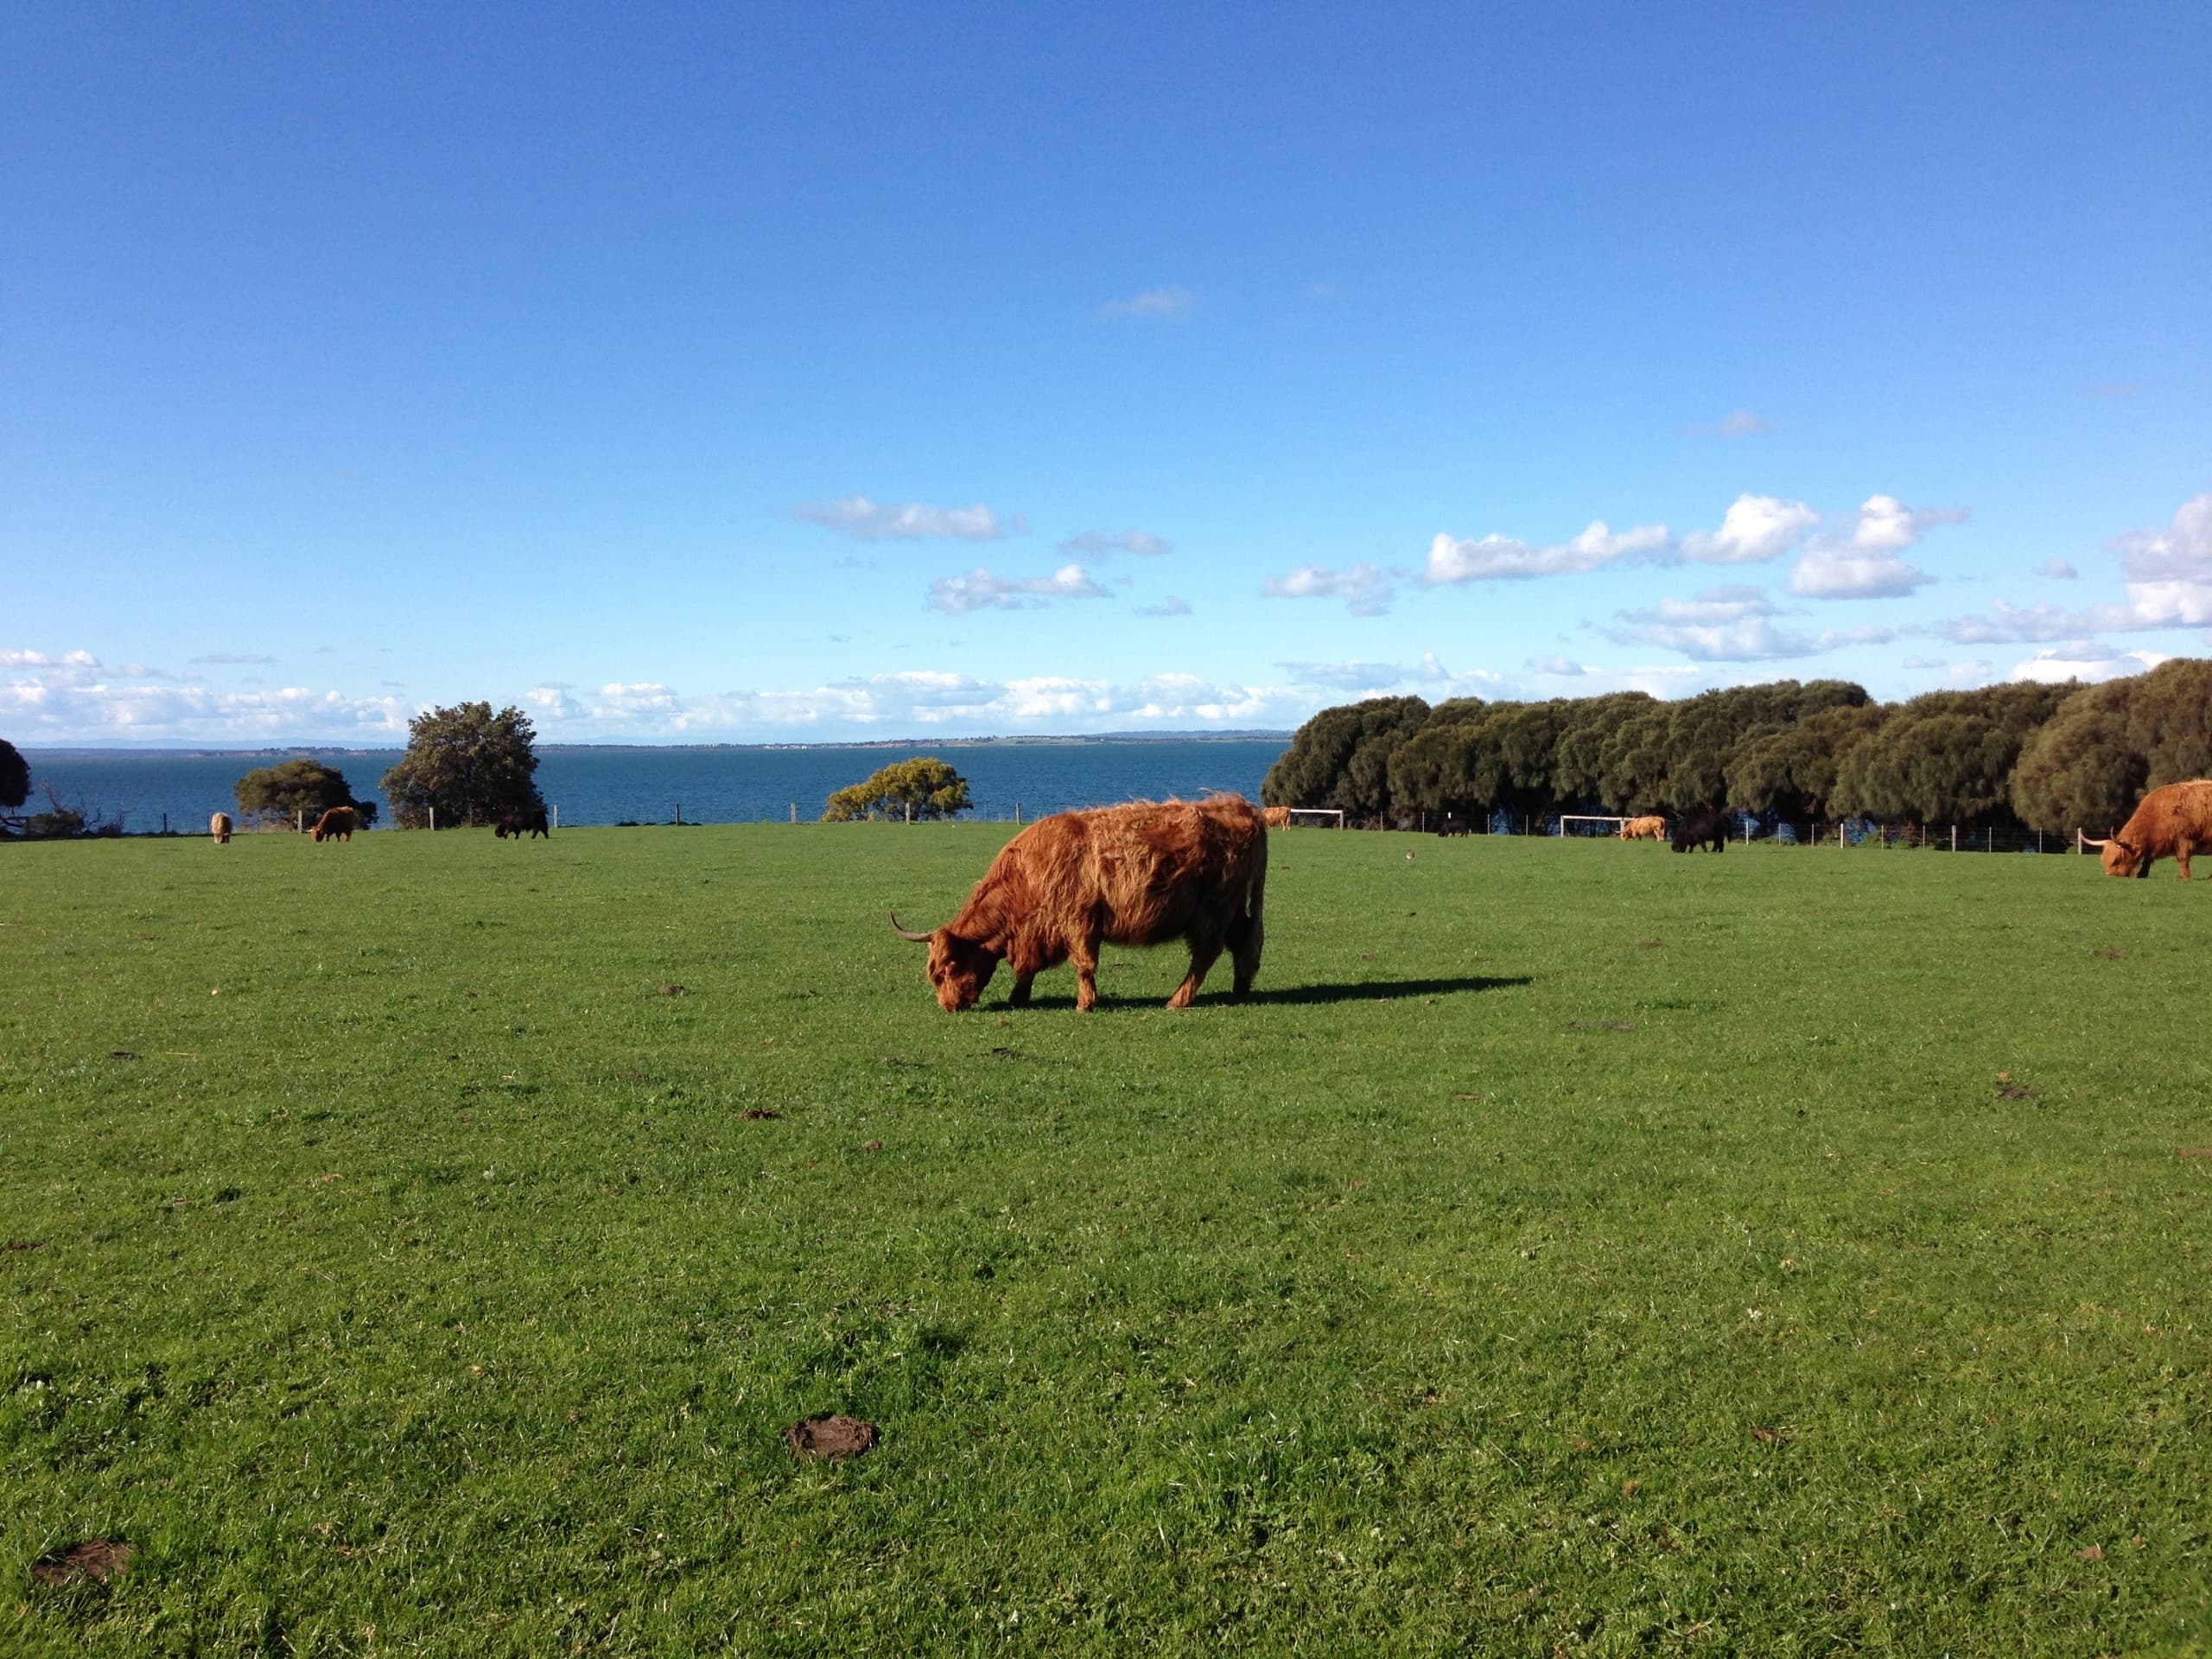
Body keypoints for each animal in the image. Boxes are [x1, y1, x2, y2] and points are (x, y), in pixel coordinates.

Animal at [891, 794, 1267, 1013]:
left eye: (947, 969)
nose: (949, 1005)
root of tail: (1241, 807)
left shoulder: (1078, 920)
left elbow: (1084, 965)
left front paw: (1085, 1004)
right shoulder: (1038, 930)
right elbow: (1026, 969)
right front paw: (1018, 997)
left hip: (1213, 910)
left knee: (1206, 954)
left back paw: (1177, 1000)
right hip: (1233, 909)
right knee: (1244, 943)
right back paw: (1239, 991)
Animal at [2082, 780, 2212, 879]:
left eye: (2116, 861)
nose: (2110, 875)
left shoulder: (2183, 839)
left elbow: (2183, 858)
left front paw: (2185, 876)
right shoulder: (2153, 843)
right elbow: (2148, 858)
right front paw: (2142, 874)